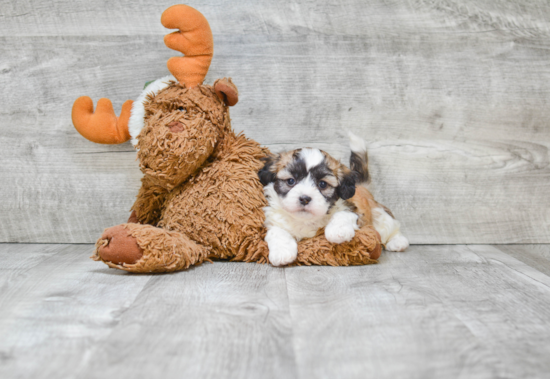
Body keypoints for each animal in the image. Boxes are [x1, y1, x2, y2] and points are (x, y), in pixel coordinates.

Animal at [258, 134, 410, 268]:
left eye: (322, 184)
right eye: (291, 181)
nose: (305, 198)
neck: (306, 220)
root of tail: (361, 187)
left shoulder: (353, 209)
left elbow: (343, 214)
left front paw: (337, 231)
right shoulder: (273, 220)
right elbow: (276, 231)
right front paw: (282, 252)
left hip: (380, 216)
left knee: (391, 226)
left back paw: (398, 242)